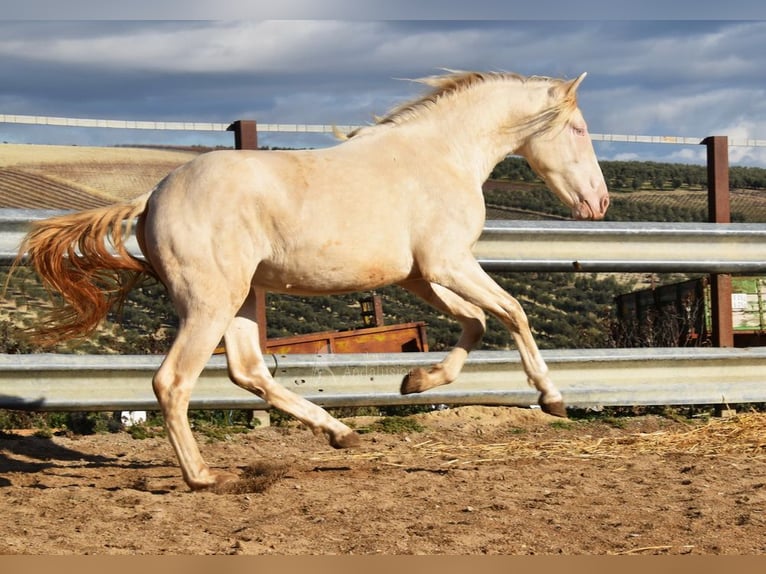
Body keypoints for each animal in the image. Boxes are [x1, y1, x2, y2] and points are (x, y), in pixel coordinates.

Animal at [15, 70, 608, 492]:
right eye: (579, 129)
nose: (599, 204)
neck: (440, 156)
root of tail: (153, 196)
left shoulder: (420, 275)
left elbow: (477, 322)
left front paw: (414, 381)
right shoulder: (448, 263)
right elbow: (512, 313)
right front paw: (553, 398)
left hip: (241, 300)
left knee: (248, 371)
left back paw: (340, 433)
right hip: (209, 303)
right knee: (173, 381)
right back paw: (204, 476)